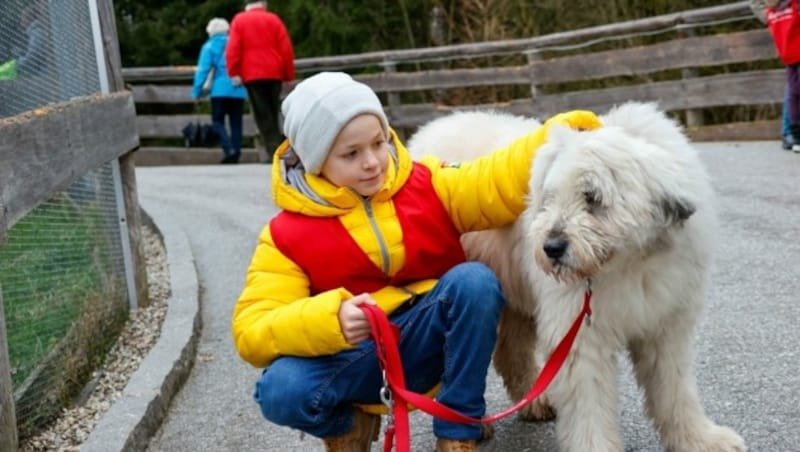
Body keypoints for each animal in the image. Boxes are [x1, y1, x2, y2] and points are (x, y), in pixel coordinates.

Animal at [410, 104, 748, 450]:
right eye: (550, 197)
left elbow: (675, 390)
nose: (552, 247)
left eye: (592, 197)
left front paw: (700, 439)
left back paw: (534, 401)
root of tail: (432, 129)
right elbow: (589, 407)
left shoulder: (666, 325)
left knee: (511, 349)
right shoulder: (580, 335)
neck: (632, 262)